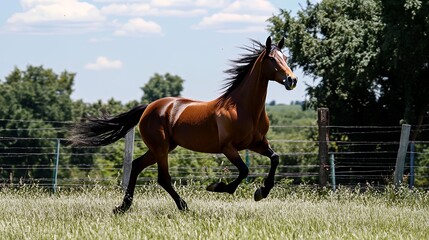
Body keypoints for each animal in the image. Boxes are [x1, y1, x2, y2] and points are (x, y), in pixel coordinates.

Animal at [70, 36, 296, 214]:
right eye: (272, 59)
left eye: (285, 58)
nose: (291, 80)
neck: (242, 107)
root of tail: (149, 107)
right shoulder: (228, 148)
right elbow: (244, 170)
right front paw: (217, 187)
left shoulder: (257, 143)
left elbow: (275, 159)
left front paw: (262, 191)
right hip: (161, 147)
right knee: (163, 178)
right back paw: (184, 206)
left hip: (163, 147)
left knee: (137, 165)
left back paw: (123, 207)